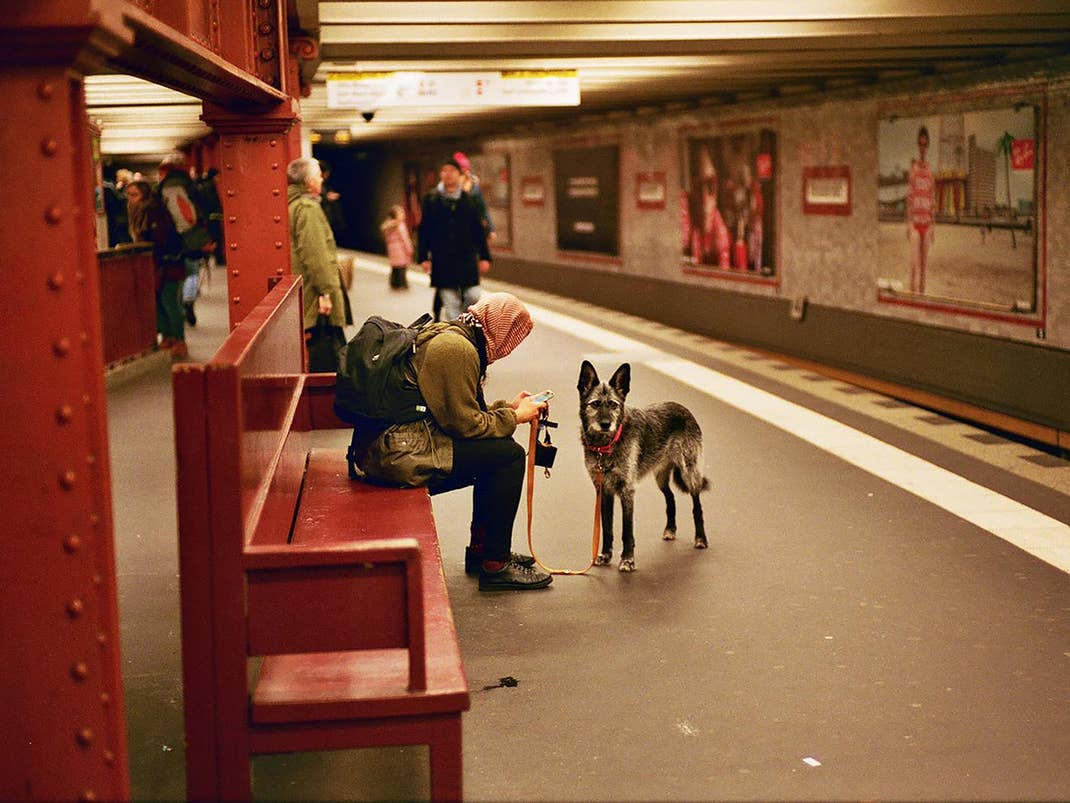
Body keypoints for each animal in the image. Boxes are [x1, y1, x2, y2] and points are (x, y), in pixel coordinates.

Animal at [577, 357, 710, 573]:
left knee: (696, 506)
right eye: (595, 404)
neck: (606, 446)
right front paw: (605, 556)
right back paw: (670, 530)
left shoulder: (627, 492)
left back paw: (700, 539)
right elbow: (607, 528)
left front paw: (627, 560)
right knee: (671, 498)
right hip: (660, 478)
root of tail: (682, 407)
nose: (605, 424)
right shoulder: (604, 491)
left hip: (689, 474)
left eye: (613, 405)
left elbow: (627, 530)